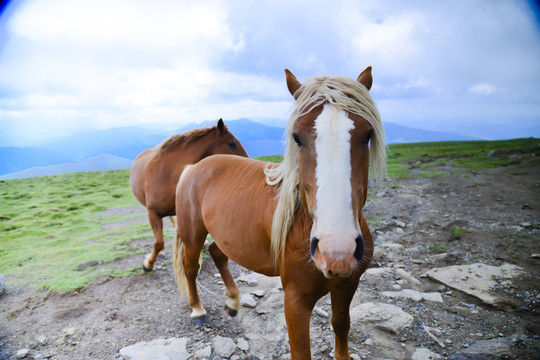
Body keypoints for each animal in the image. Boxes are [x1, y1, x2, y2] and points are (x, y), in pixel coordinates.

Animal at [129, 119, 249, 272]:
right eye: (231, 143)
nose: (247, 163)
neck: (167, 174)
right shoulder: (153, 213)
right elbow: (159, 243)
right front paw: (148, 264)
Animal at [173, 68, 384, 360]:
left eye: (367, 135)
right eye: (297, 137)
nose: (337, 250)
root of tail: (193, 167)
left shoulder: (348, 284)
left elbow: (341, 324)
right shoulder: (295, 300)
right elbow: (301, 350)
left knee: (217, 252)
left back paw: (233, 301)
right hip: (192, 233)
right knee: (191, 267)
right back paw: (197, 309)